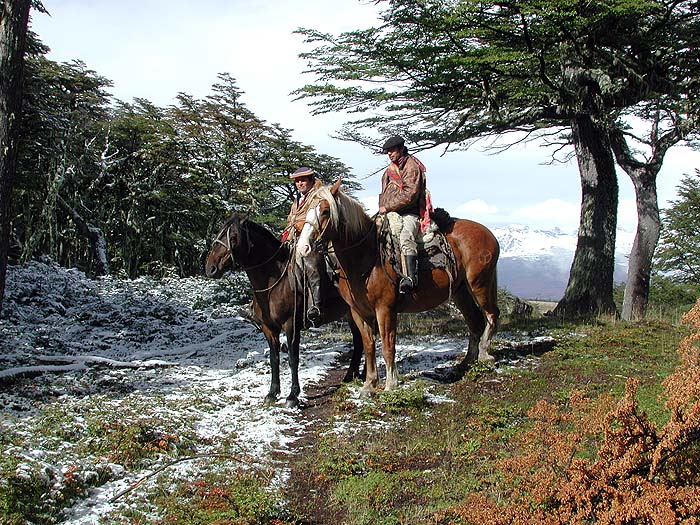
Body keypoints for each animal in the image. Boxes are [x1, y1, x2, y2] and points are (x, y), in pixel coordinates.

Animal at [205, 212, 364, 406]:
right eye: (219, 234)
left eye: (233, 237)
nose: (210, 268)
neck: (273, 283)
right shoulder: (269, 329)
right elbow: (274, 359)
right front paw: (272, 393)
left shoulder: (291, 326)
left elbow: (293, 359)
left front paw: (292, 396)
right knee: (360, 341)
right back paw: (352, 376)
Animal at [294, 182, 498, 396]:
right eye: (306, 210)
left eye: (325, 211)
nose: (303, 247)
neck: (366, 257)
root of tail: (488, 233)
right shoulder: (358, 312)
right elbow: (368, 346)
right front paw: (369, 385)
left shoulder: (385, 310)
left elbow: (387, 345)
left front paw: (391, 384)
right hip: (461, 292)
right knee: (475, 322)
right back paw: (465, 364)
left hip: (479, 284)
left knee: (491, 315)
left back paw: (485, 354)